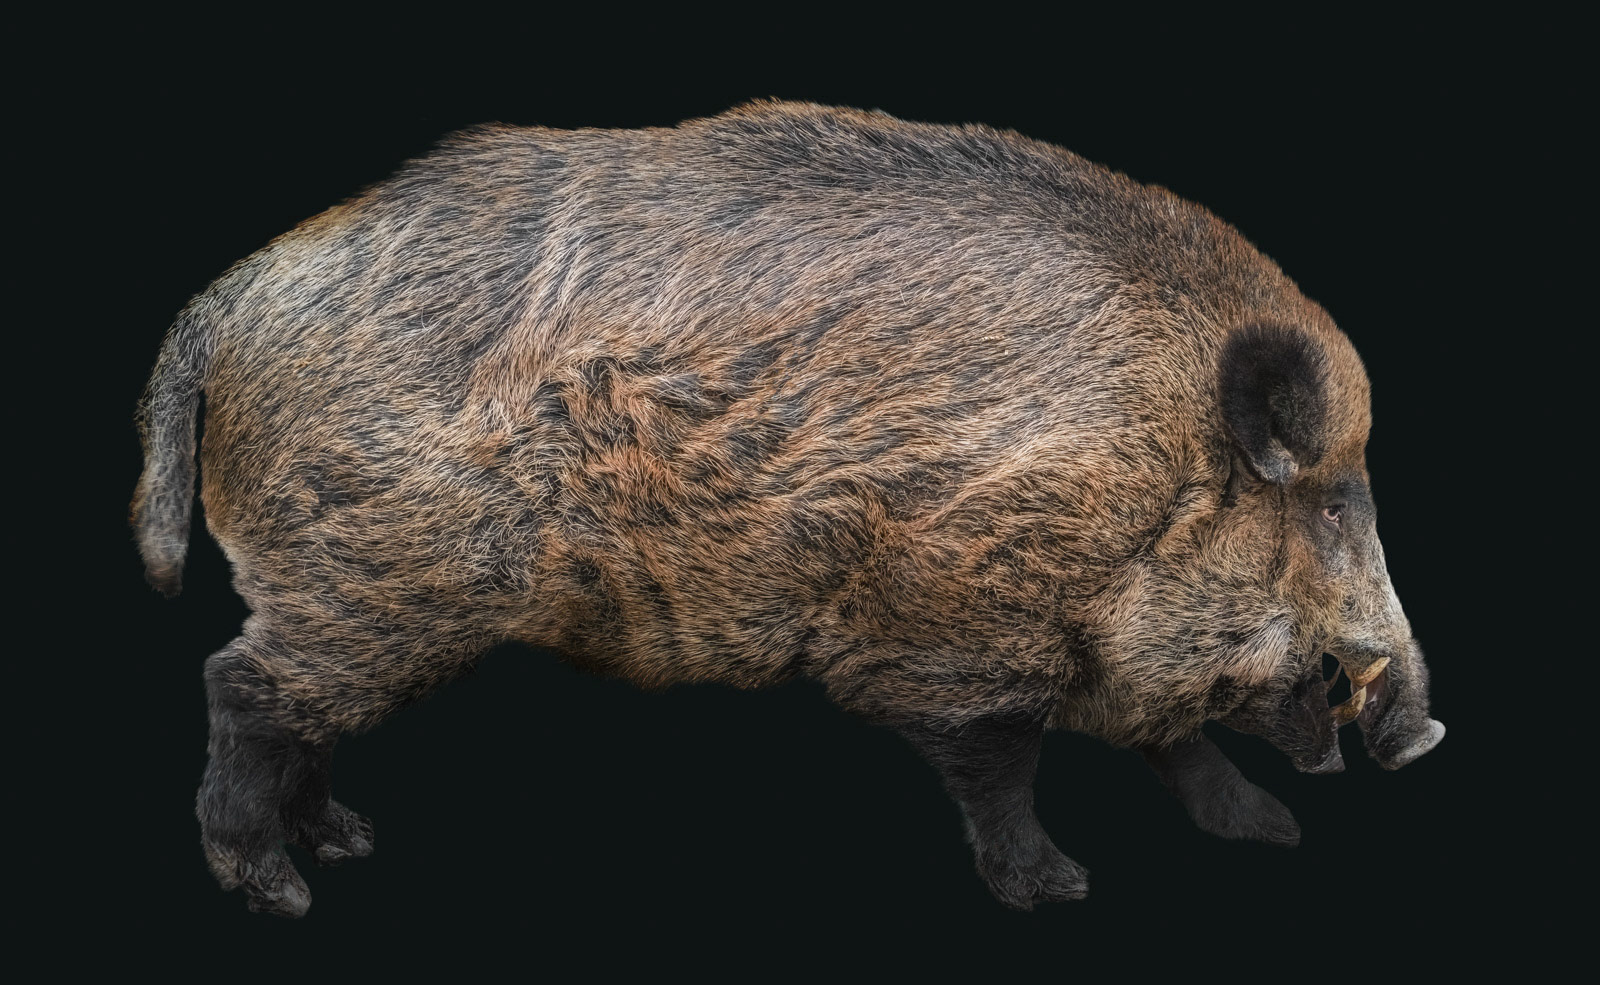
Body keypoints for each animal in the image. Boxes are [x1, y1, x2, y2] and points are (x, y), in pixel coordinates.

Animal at [131, 100, 1444, 917]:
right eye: (1332, 508)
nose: (1424, 731)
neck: (1146, 460)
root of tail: (230, 297)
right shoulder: (951, 618)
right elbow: (1003, 765)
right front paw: (1060, 888)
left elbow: (1176, 741)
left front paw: (1268, 834)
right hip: (375, 577)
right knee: (240, 686)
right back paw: (282, 890)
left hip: (360, 594)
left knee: (296, 710)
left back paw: (347, 841)